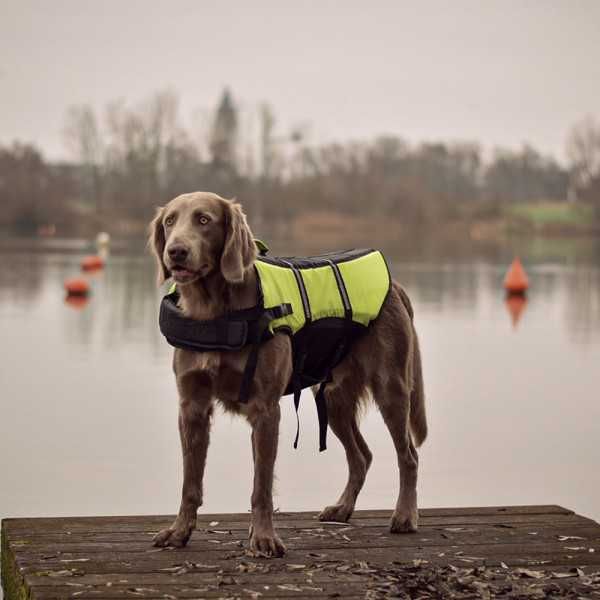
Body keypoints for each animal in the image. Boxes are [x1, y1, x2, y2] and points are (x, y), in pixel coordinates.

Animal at [149, 190, 426, 556]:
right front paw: (179, 531)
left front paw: (264, 537)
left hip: (390, 388)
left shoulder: (266, 410)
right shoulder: (192, 407)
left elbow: (262, 486)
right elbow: (190, 483)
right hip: (333, 398)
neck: (214, 312)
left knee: (408, 455)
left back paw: (405, 516)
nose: (176, 251)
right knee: (361, 456)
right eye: (169, 221)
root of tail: (395, 287)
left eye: (204, 220)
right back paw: (342, 508)